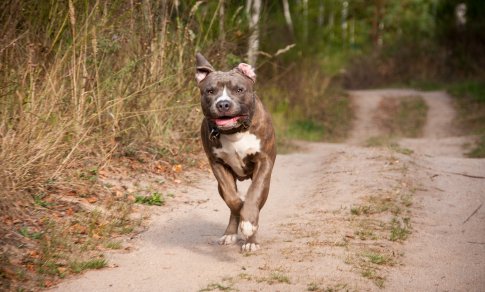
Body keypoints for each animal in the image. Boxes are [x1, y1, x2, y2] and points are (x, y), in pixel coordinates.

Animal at [194, 53, 276, 252]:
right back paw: (230, 233)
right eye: (210, 91)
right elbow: (232, 199)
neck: (235, 132)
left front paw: (249, 224)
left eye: (239, 89)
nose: (223, 104)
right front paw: (240, 208)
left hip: (266, 183)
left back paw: (251, 240)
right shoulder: (217, 164)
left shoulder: (264, 162)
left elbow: (254, 195)